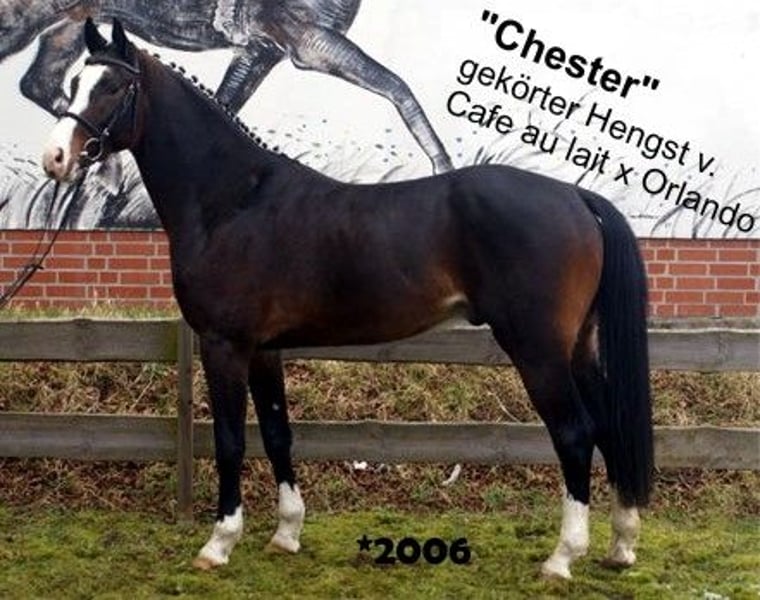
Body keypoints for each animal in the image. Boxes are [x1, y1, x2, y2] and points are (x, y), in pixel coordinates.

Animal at [2, 0, 451, 174]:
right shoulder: (309, 39)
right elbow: (398, 85)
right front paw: (443, 166)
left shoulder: (260, 50)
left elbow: (223, 105)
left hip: (71, 26)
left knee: (38, 81)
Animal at [41, 19, 653, 580]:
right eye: (73, 82)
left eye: (112, 87)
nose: (56, 159)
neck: (233, 201)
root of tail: (575, 195)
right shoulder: (264, 349)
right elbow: (278, 433)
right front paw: (286, 534)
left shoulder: (224, 345)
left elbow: (231, 440)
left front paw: (218, 544)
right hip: (579, 347)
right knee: (608, 427)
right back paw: (621, 546)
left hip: (538, 351)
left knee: (575, 435)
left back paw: (562, 558)